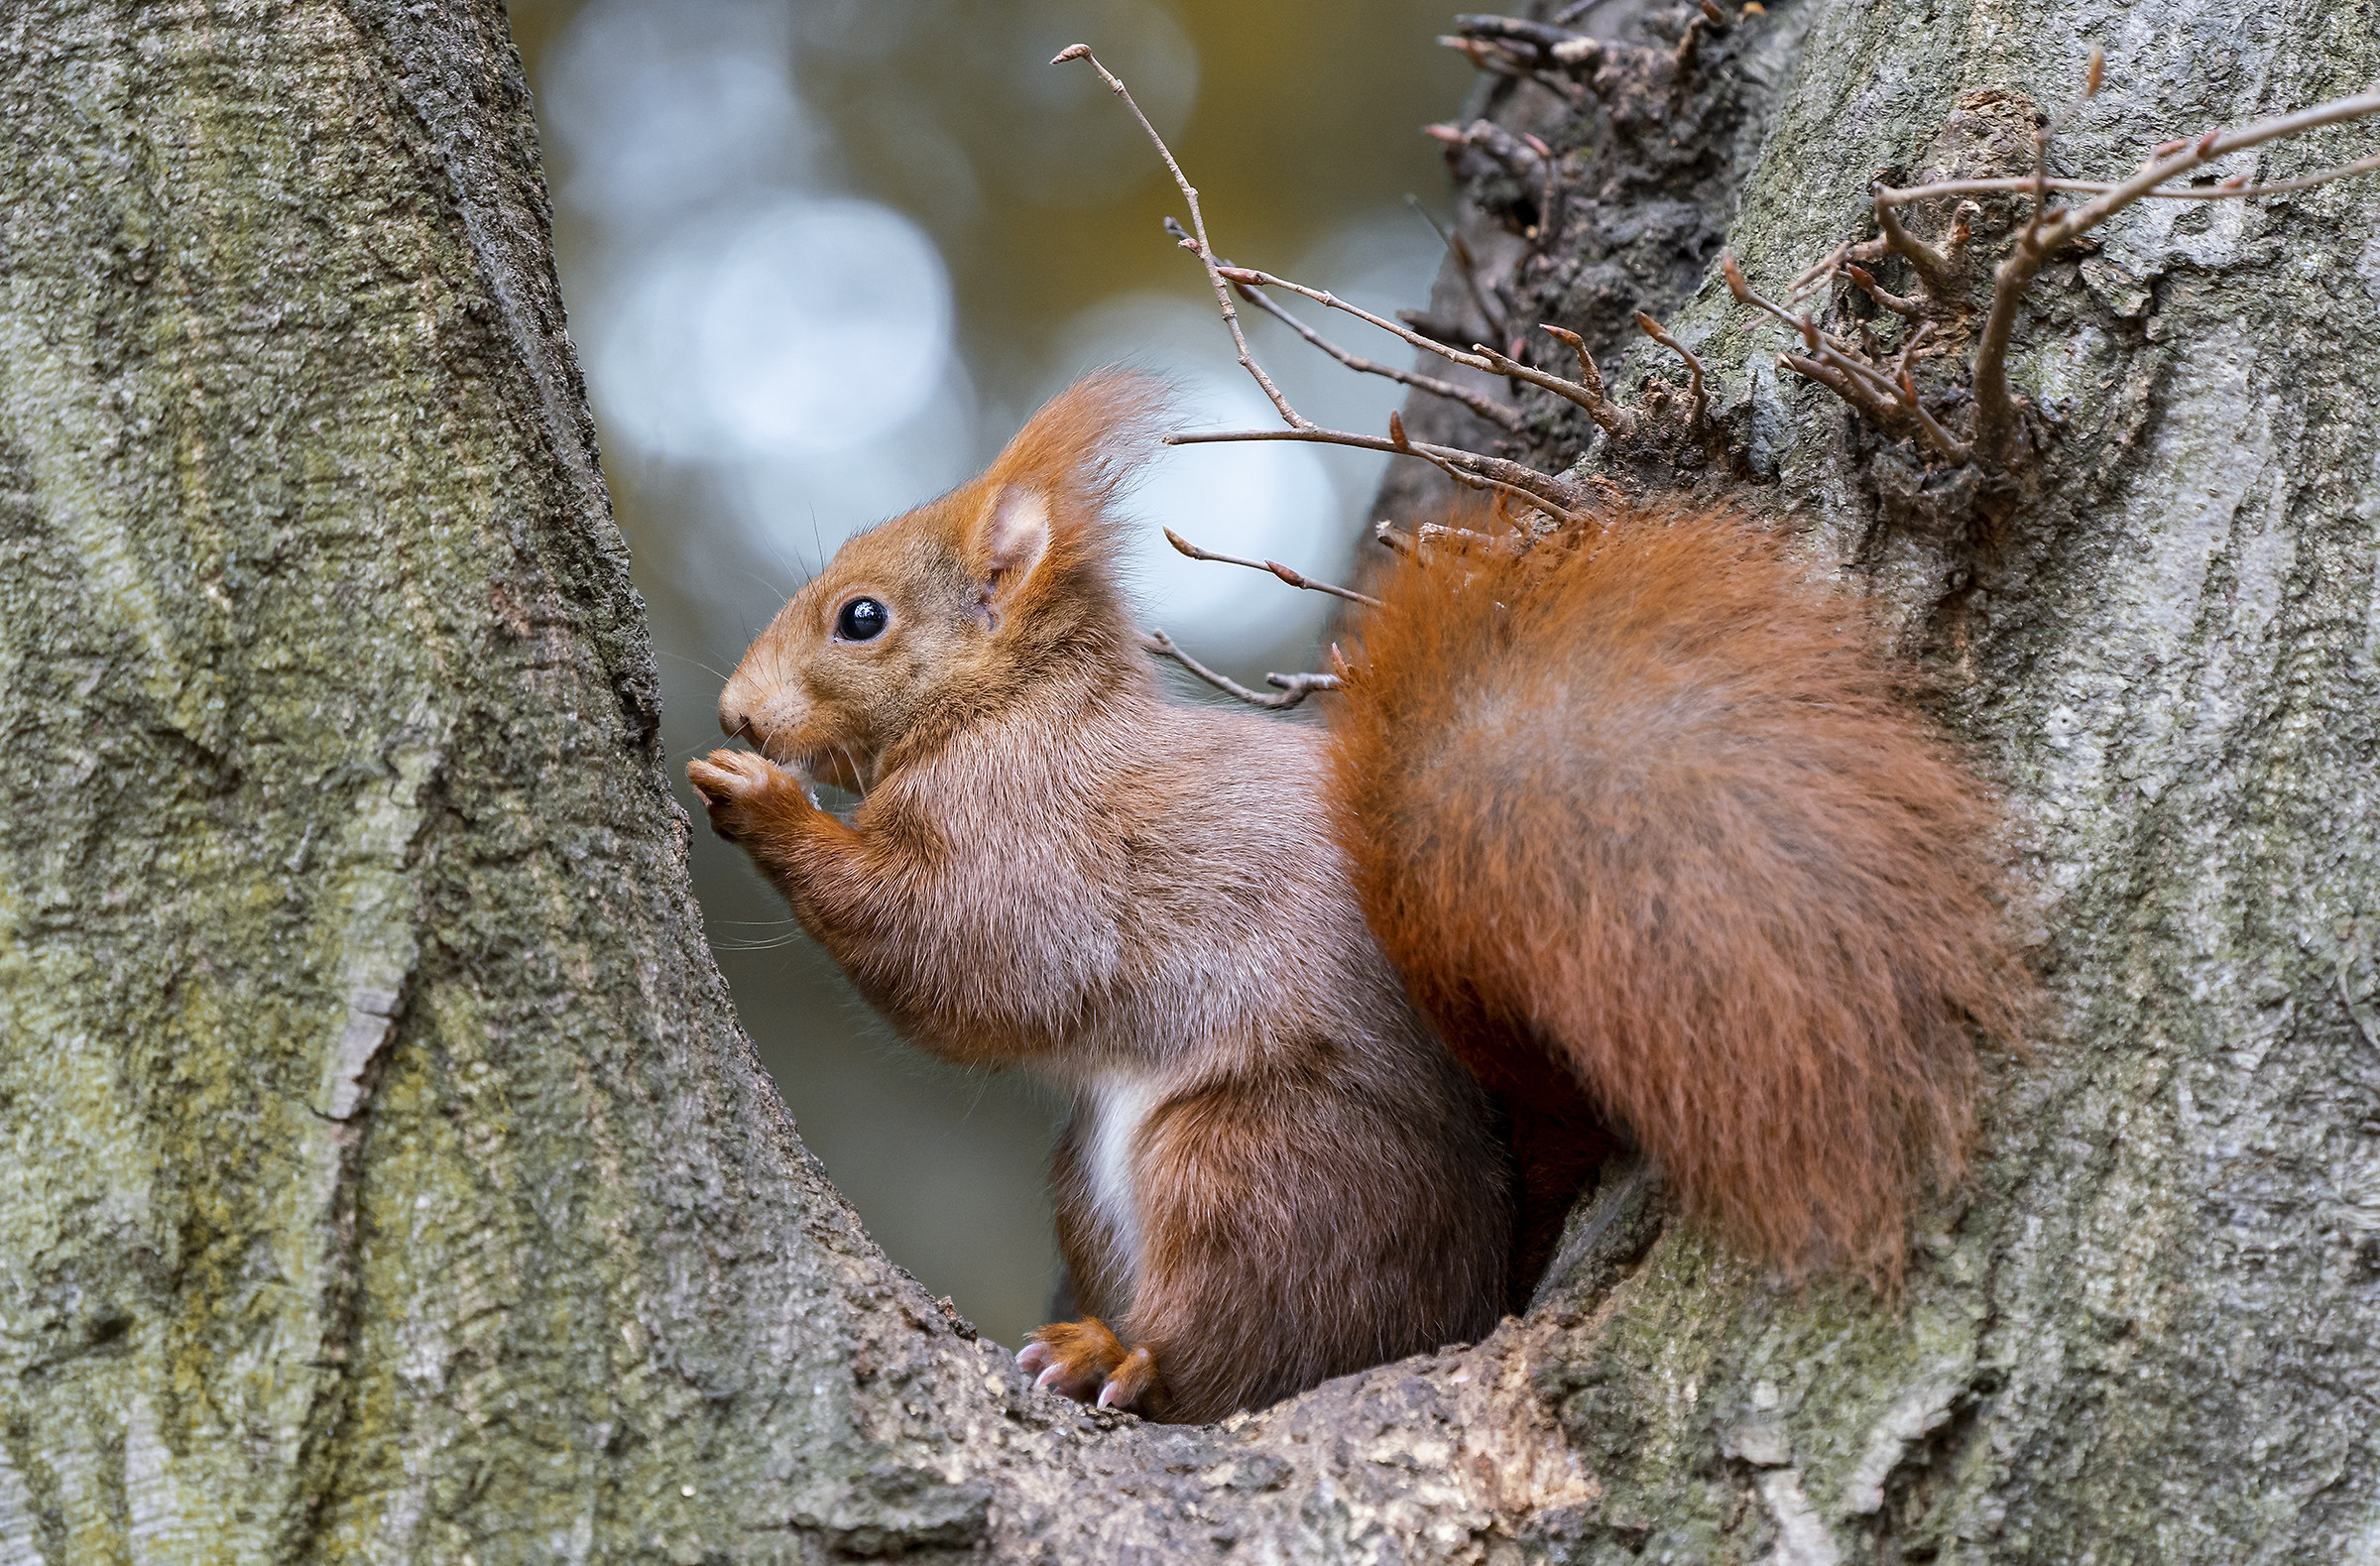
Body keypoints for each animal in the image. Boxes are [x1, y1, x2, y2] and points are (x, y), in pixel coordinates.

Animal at [688, 371, 2027, 1423]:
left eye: (861, 618)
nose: (737, 712)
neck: (1012, 708)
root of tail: (1468, 1294)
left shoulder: (1036, 842)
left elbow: (959, 960)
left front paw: (762, 802)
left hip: (1252, 1164)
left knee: (1251, 1345)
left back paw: (1122, 1356)